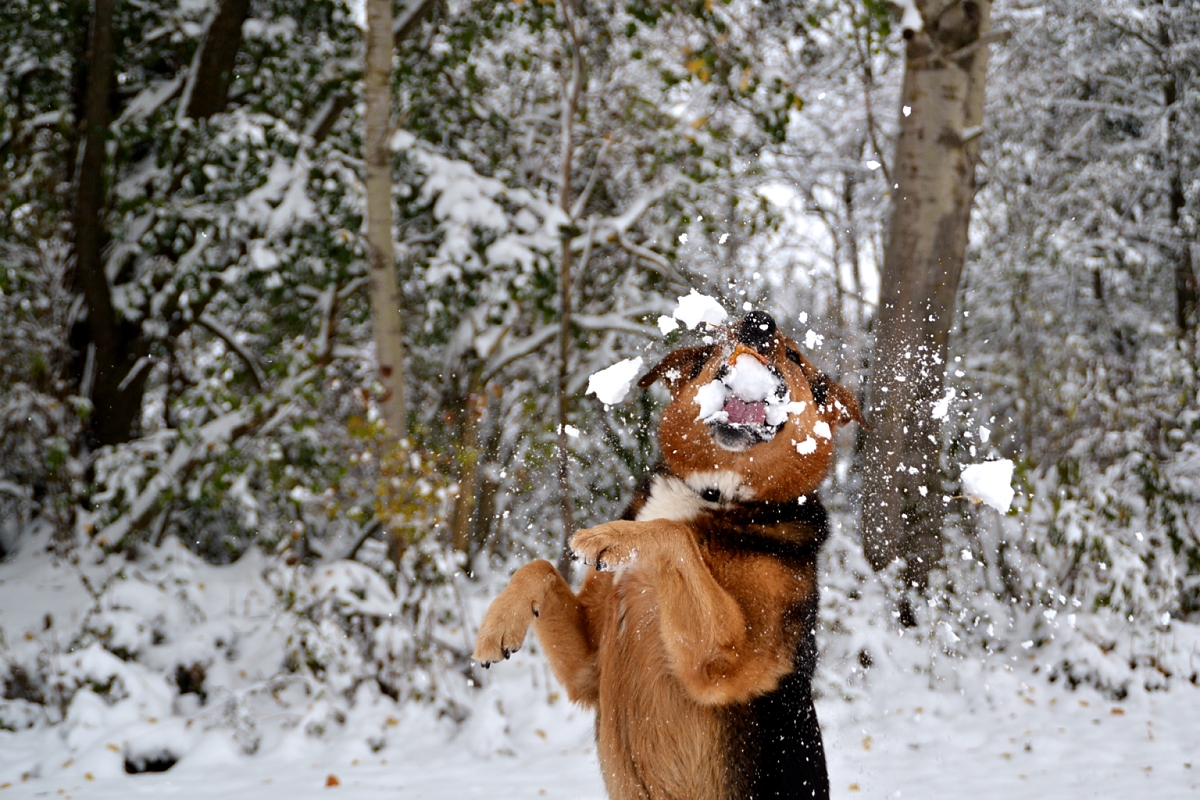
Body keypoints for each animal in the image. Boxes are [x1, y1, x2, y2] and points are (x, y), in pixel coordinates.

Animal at [472, 311, 859, 800]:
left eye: (794, 355)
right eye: (724, 336)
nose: (759, 322)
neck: (714, 492)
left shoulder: (728, 663)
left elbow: (673, 532)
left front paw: (613, 536)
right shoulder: (588, 667)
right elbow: (537, 566)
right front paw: (498, 624)